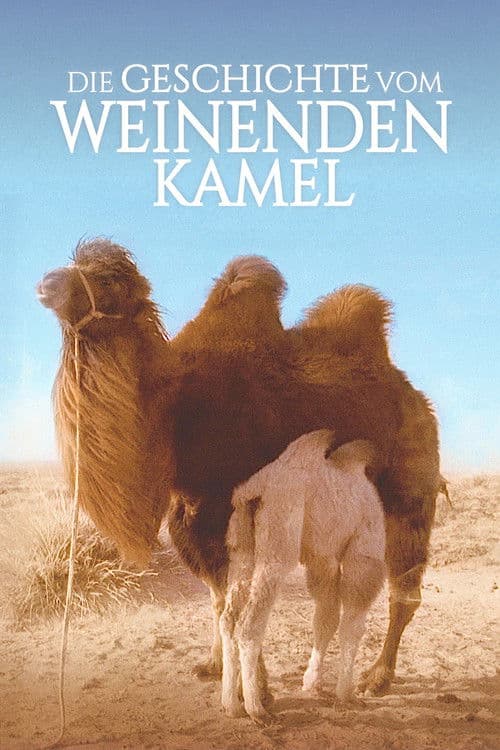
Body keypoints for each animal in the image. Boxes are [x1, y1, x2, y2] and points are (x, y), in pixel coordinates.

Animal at [220, 430, 386, 723]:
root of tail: (252, 492)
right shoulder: (363, 555)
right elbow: (352, 626)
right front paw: (347, 696)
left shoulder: (323, 558)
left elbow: (325, 619)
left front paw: (312, 684)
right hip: (278, 544)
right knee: (249, 625)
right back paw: (258, 711)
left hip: (241, 547)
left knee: (228, 620)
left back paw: (232, 706)